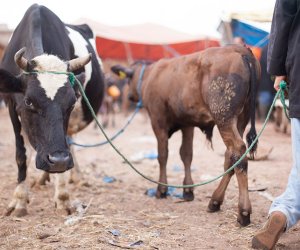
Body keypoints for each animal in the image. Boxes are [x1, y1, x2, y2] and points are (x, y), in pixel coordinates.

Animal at [0, 3, 104, 216]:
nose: (59, 160)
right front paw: (19, 199)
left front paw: (63, 197)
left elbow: (66, 146)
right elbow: (21, 154)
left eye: (71, 103)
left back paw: (75, 176)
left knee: (70, 142)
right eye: (29, 102)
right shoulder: (11, 105)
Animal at [112, 45, 260, 227]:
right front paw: (188, 190)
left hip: (224, 116)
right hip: (240, 119)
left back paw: (243, 211)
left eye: (127, 79)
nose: (129, 96)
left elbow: (163, 155)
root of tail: (240, 49)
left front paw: (162, 189)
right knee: (230, 157)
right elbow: (186, 154)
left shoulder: (158, 121)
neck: (151, 75)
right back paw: (215, 201)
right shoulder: (187, 124)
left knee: (238, 152)